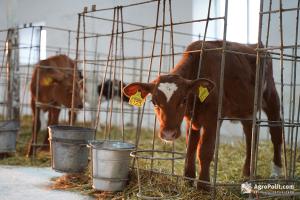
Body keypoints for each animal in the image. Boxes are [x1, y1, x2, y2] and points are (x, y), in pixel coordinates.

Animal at [123, 40, 282, 189]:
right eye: (154, 102)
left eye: (184, 99)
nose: (168, 133)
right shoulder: (190, 119)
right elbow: (190, 148)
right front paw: (187, 179)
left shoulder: (213, 117)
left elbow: (204, 150)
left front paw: (203, 185)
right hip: (246, 108)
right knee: (251, 135)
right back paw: (247, 172)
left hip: (271, 95)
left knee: (276, 130)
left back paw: (276, 172)